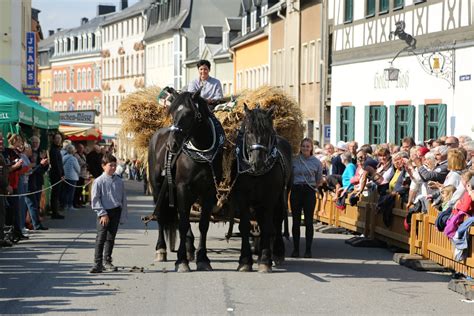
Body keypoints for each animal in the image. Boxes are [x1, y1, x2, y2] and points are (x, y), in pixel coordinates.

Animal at [147, 87, 225, 272]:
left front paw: (203, 258)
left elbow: (203, 224)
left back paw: (190, 249)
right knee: (161, 216)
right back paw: (161, 249)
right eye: (173, 112)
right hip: (158, 188)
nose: (172, 145)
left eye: (189, 114)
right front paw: (181, 261)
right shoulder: (183, 187)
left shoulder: (209, 191)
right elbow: (182, 223)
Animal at [231, 103, 292, 272]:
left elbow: (267, 226)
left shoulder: (270, 198)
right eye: (248, 132)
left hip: (281, 197)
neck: (256, 174)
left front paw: (265, 260)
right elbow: (245, 226)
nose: (257, 162)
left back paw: (277, 252)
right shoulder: (242, 198)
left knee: (277, 221)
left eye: (268, 132)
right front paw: (245, 261)